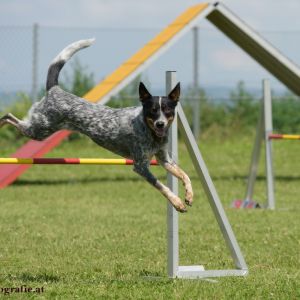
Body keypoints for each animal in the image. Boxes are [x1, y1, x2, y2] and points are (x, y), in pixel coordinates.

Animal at [0, 38, 193, 212]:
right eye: (152, 110)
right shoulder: (141, 166)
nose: (160, 124)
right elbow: (161, 185)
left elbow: (185, 175)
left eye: (167, 110)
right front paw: (177, 202)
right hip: (39, 130)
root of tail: (55, 90)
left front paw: (189, 196)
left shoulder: (164, 160)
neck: (149, 131)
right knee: (8, 116)